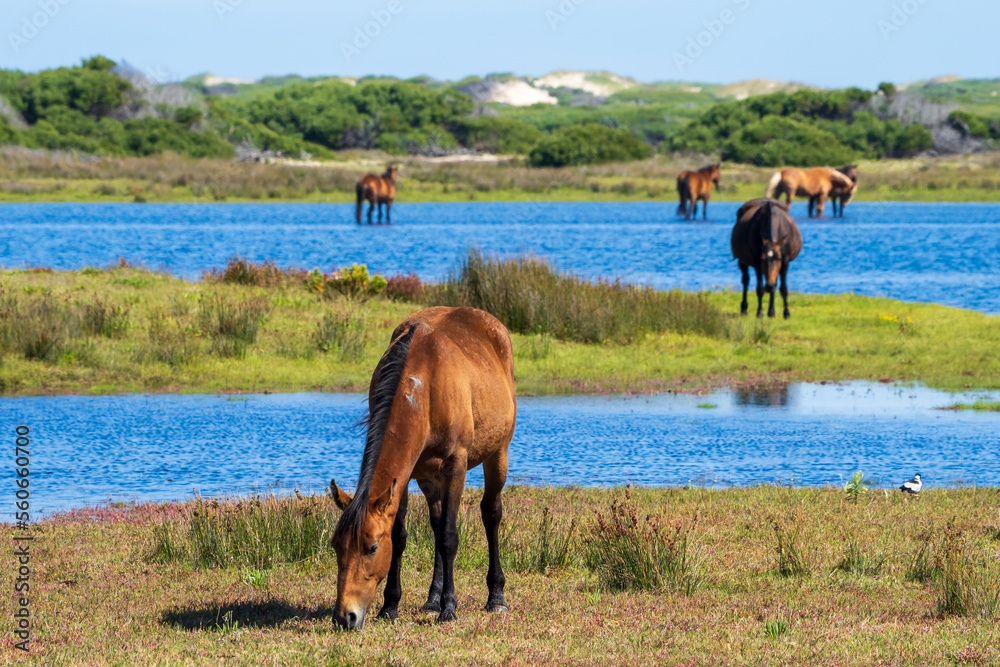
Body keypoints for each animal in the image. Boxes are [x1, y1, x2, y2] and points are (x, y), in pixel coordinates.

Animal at [330, 308, 516, 632]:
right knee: (437, 521)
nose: (345, 617)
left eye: (372, 548)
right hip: (430, 478)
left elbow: (449, 537)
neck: (425, 385)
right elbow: (402, 536)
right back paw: (431, 601)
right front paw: (390, 606)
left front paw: (449, 609)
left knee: (490, 514)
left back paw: (495, 598)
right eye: (336, 547)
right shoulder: (403, 478)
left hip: (498, 454)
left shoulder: (456, 466)